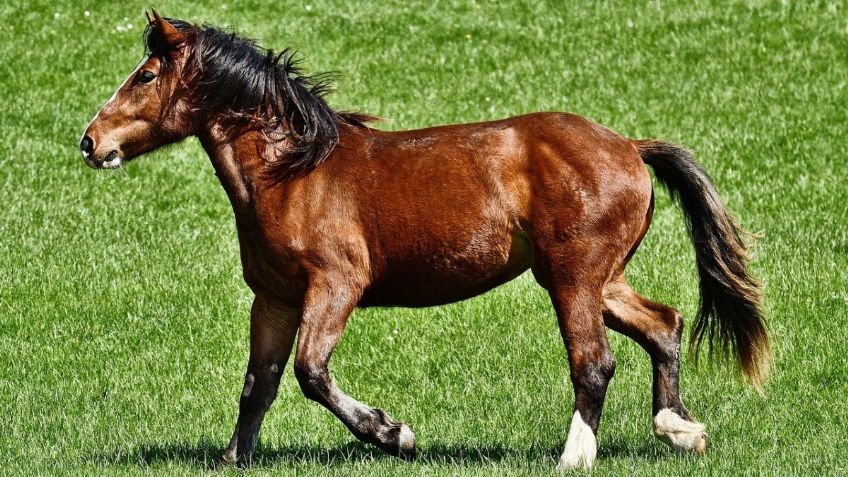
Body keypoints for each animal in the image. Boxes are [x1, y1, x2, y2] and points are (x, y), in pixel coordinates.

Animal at [78, 11, 768, 468]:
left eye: (145, 77)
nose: (90, 142)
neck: (293, 173)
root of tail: (629, 145)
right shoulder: (273, 299)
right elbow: (260, 385)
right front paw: (233, 460)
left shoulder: (336, 286)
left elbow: (310, 373)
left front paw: (395, 434)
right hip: (598, 278)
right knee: (665, 325)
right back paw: (680, 429)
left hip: (573, 278)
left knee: (594, 363)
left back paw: (574, 457)